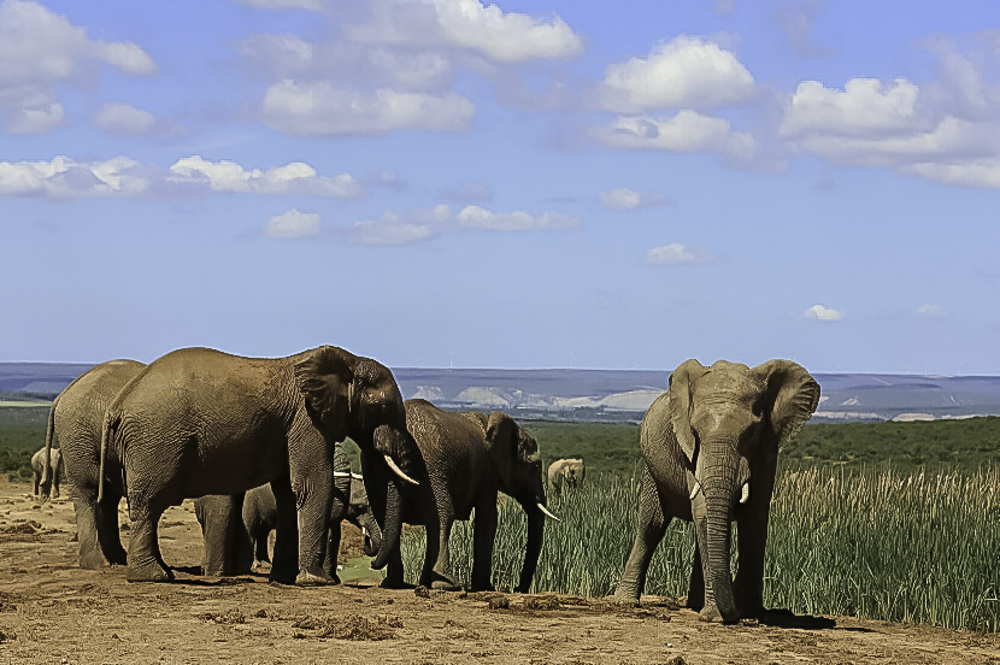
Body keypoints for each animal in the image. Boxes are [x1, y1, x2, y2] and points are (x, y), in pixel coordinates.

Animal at [42, 360, 146, 568]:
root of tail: (62, 394)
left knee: (106, 494)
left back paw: (118, 559)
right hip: (78, 434)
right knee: (88, 490)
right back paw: (98, 564)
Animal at [103, 344, 424, 584]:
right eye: (382, 407)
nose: (371, 557)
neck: (347, 361)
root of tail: (118, 403)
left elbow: (288, 493)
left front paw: (283, 579)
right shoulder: (306, 419)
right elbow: (313, 484)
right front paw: (316, 581)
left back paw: (159, 574)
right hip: (155, 439)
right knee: (150, 502)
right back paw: (153, 577)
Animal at [378, 400, 560, 592]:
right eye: (535, 466)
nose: (517, 588)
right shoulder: (487, 472)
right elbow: (488, 519)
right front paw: (486, 588)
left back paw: (397, 584)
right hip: (433, 468)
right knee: (442, 516)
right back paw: (448, 585)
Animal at [608, 358, 820, 624]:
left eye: (750, 433)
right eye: (695, 432)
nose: (735, 613)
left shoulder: (767, 448)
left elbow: (755, 518)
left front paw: (749, 613)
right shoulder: (689, 452)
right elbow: (704, 512)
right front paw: (718, 616)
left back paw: (695, 605)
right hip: (651, 469)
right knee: (651, 526)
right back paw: (626, 602)